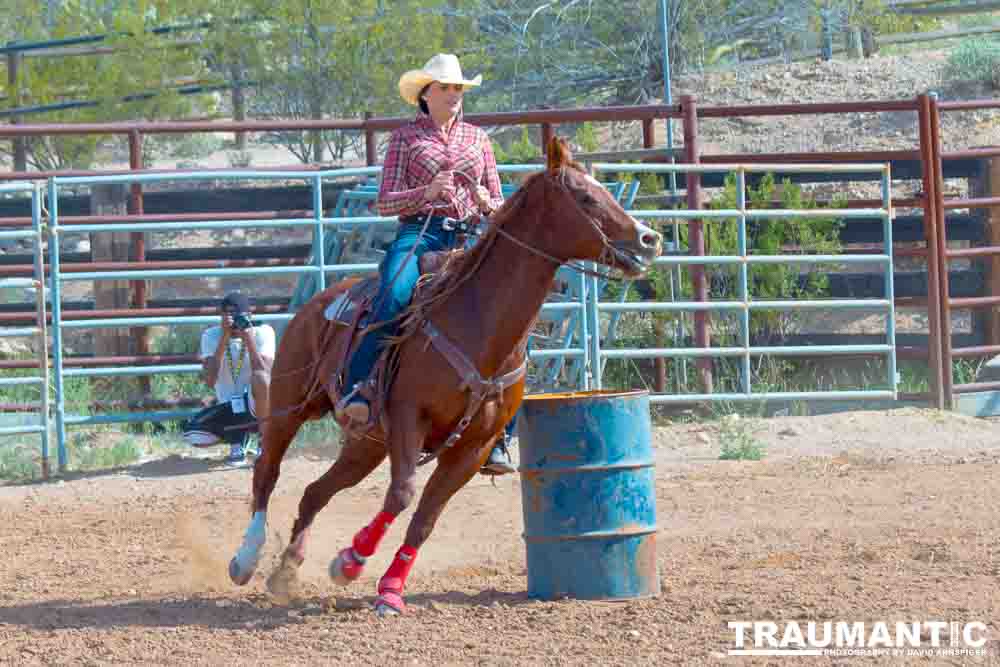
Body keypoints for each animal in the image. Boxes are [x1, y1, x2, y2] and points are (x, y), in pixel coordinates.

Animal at [229, 138, 660, 620]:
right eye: (585, 197)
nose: (649, 239)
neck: (478, 322)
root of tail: (318, 300)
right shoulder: (408, 417)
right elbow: (401, 495)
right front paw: (352, 559)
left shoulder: (474, 448)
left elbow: (426, 518)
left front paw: (389, 590)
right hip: (291, 405)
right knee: (267, 471)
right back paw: (246, 558)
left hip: (367, 444)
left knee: (314, 492)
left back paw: (286, 571)